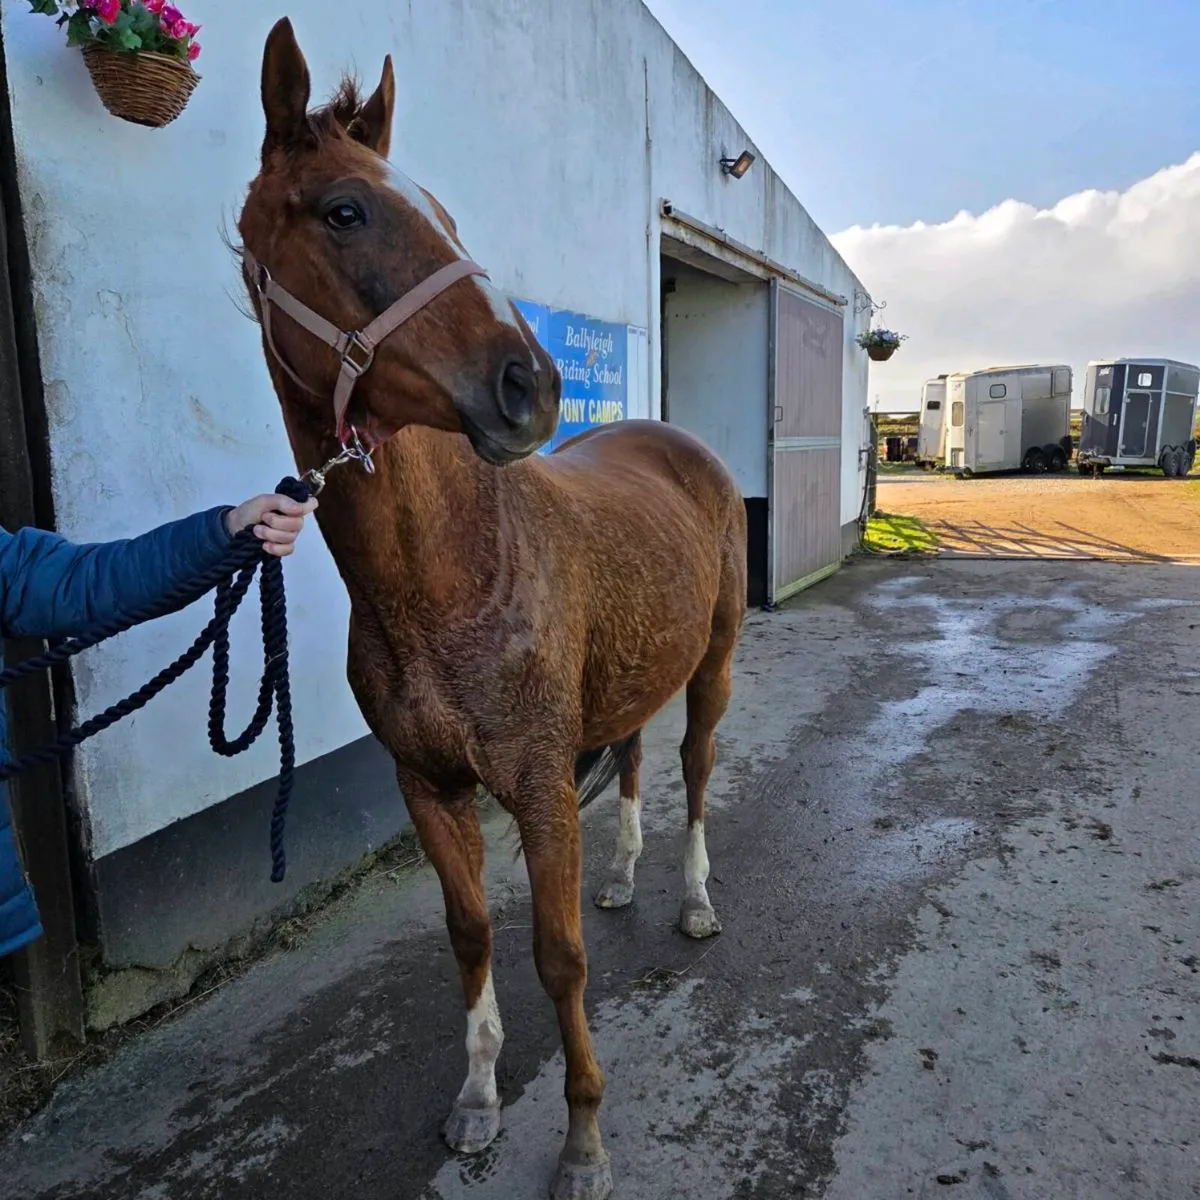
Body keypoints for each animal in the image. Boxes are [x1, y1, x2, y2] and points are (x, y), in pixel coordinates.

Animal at [236, 19, 747, 1200]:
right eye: (344, 210)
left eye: (448, 215)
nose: (531, 387)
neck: (451, 576)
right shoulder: (429, 786)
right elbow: (470, 934)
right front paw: (474, 1099)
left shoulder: (538, 787)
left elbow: (557, 957)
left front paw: (583, 1140)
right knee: (638, 763)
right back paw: (625, 877)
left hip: (712, 665)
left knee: (695, 770)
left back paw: (693, 899)